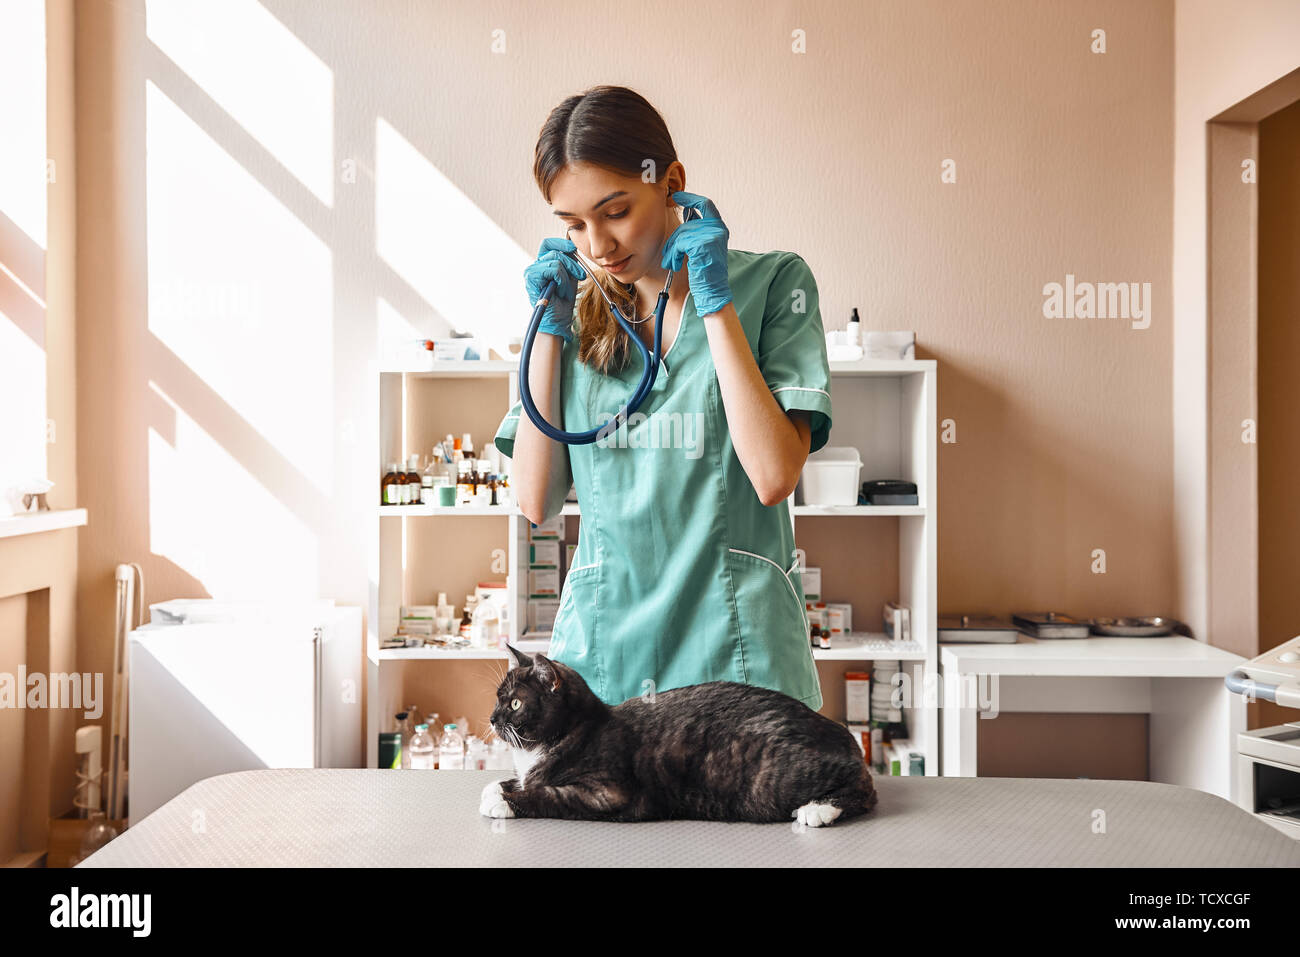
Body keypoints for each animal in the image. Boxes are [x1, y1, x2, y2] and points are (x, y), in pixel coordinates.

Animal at [483, 647, 878, 826]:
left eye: (515, 703)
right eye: (498, 697)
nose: (492, 718)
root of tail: (838, 732)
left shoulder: (608, 792)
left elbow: (548, 793)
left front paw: (504, 802)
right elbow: (516, 780)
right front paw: (495, 788)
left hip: (777, 779)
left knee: (863, 787)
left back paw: (819, 809)